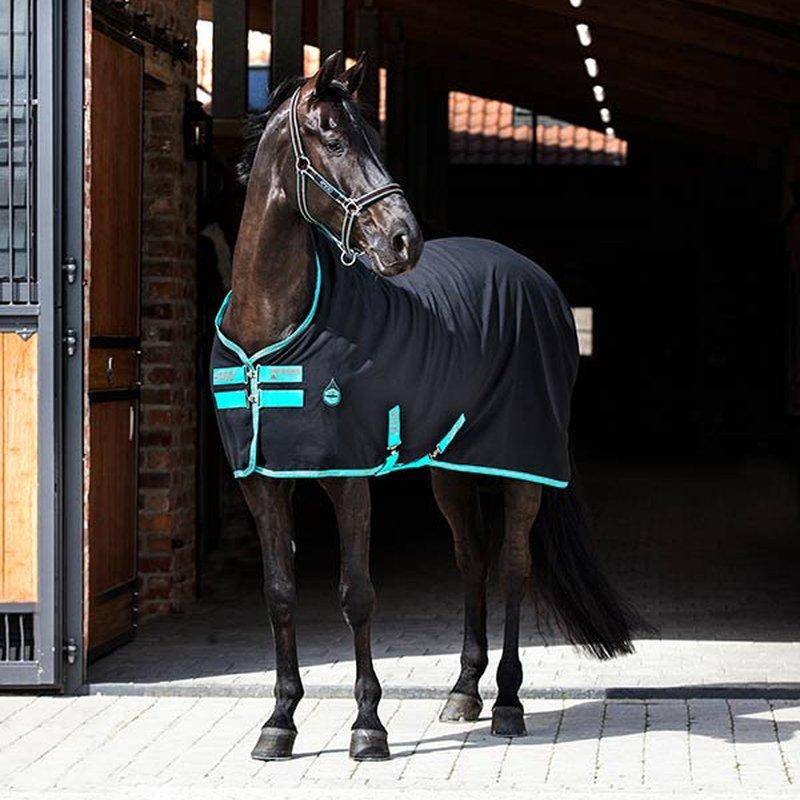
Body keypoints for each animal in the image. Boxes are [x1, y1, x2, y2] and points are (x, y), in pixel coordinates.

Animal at [213, 51, 642, 762]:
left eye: (374, 138)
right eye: (333, 137)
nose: (403, 241)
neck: (270, 329)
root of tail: (538, 280)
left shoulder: (349, 479)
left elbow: (357, 594)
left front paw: (368, 728)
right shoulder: (262, 482)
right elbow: (279, 594)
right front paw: (279, 722)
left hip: (521, 464)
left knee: (514, 567)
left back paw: (508, 705)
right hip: (452, 467)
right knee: (472, 561)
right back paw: (463, 693)